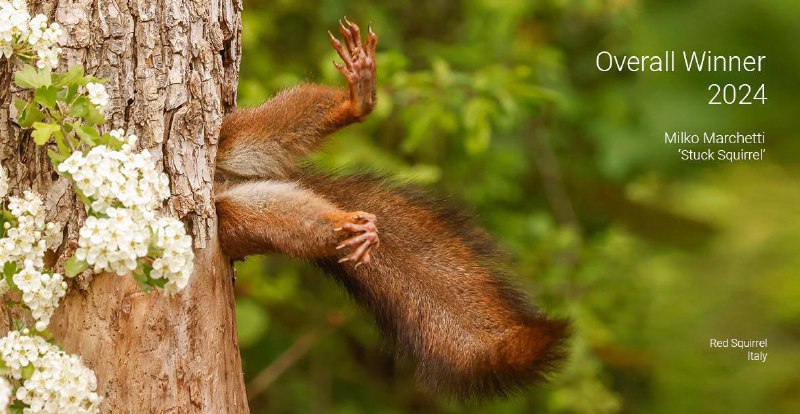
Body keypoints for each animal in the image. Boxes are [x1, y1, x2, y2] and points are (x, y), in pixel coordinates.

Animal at [212, 17, 564, 400]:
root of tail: (223, 182)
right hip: (235, 216)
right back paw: (348, 227)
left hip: (232, 137)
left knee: (272, 127)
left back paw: (356, 101)